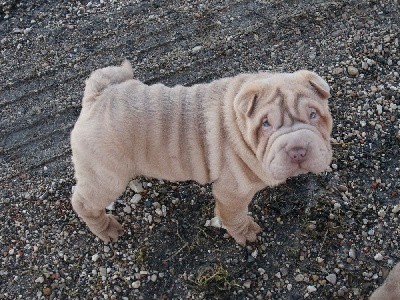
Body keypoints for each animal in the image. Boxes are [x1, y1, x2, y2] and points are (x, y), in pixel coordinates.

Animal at [70, 59, 332, 245]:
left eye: (313, 115)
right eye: (265, 124)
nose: (298, 150)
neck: (239, 125)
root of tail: (97, 95)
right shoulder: (232, 192)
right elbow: (234, 216)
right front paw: (246, 233)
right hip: (107, 177)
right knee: (83, 202)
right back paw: (107, 229)